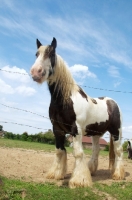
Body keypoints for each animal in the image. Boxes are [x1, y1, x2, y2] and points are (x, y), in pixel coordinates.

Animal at [30, 37, 125, 188]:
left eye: (51, 54)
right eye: (36, 54)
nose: (35, 72)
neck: (66, 100)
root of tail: (113, 103)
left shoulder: (76, 130)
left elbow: (78, 153)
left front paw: (79, 180)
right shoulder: (57, 130)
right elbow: (59, 151)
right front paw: (56, 174)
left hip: (116, 132)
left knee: (119, 151)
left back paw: (117, 175)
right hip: (96, 134)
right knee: (96, 151)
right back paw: (92, 170)